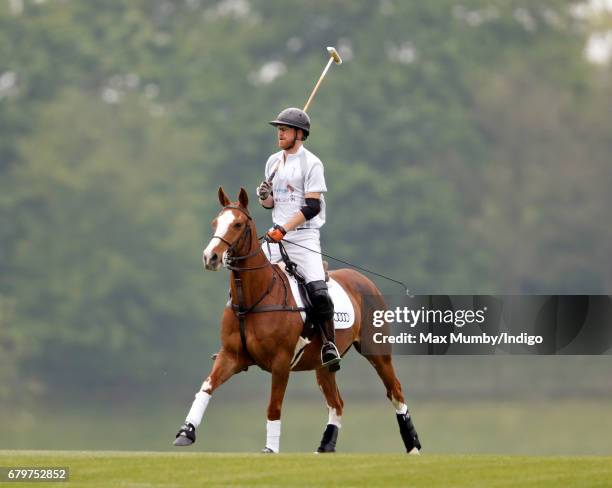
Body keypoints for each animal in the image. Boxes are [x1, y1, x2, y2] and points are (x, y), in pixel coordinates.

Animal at [172, 187, 420, 454]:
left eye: (238, 224)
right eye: (215, 223)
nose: (211, 257)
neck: (253, 299)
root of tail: (364, 279)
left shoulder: (280, 362)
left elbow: (274, 406)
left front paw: (270, 449)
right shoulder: (231, 355)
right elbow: (207, 387)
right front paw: (186, 432)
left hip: (377, 350)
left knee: (395, 391)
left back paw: (413, 446)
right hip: (323, 364)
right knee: (337, 402)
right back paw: (325, 447)